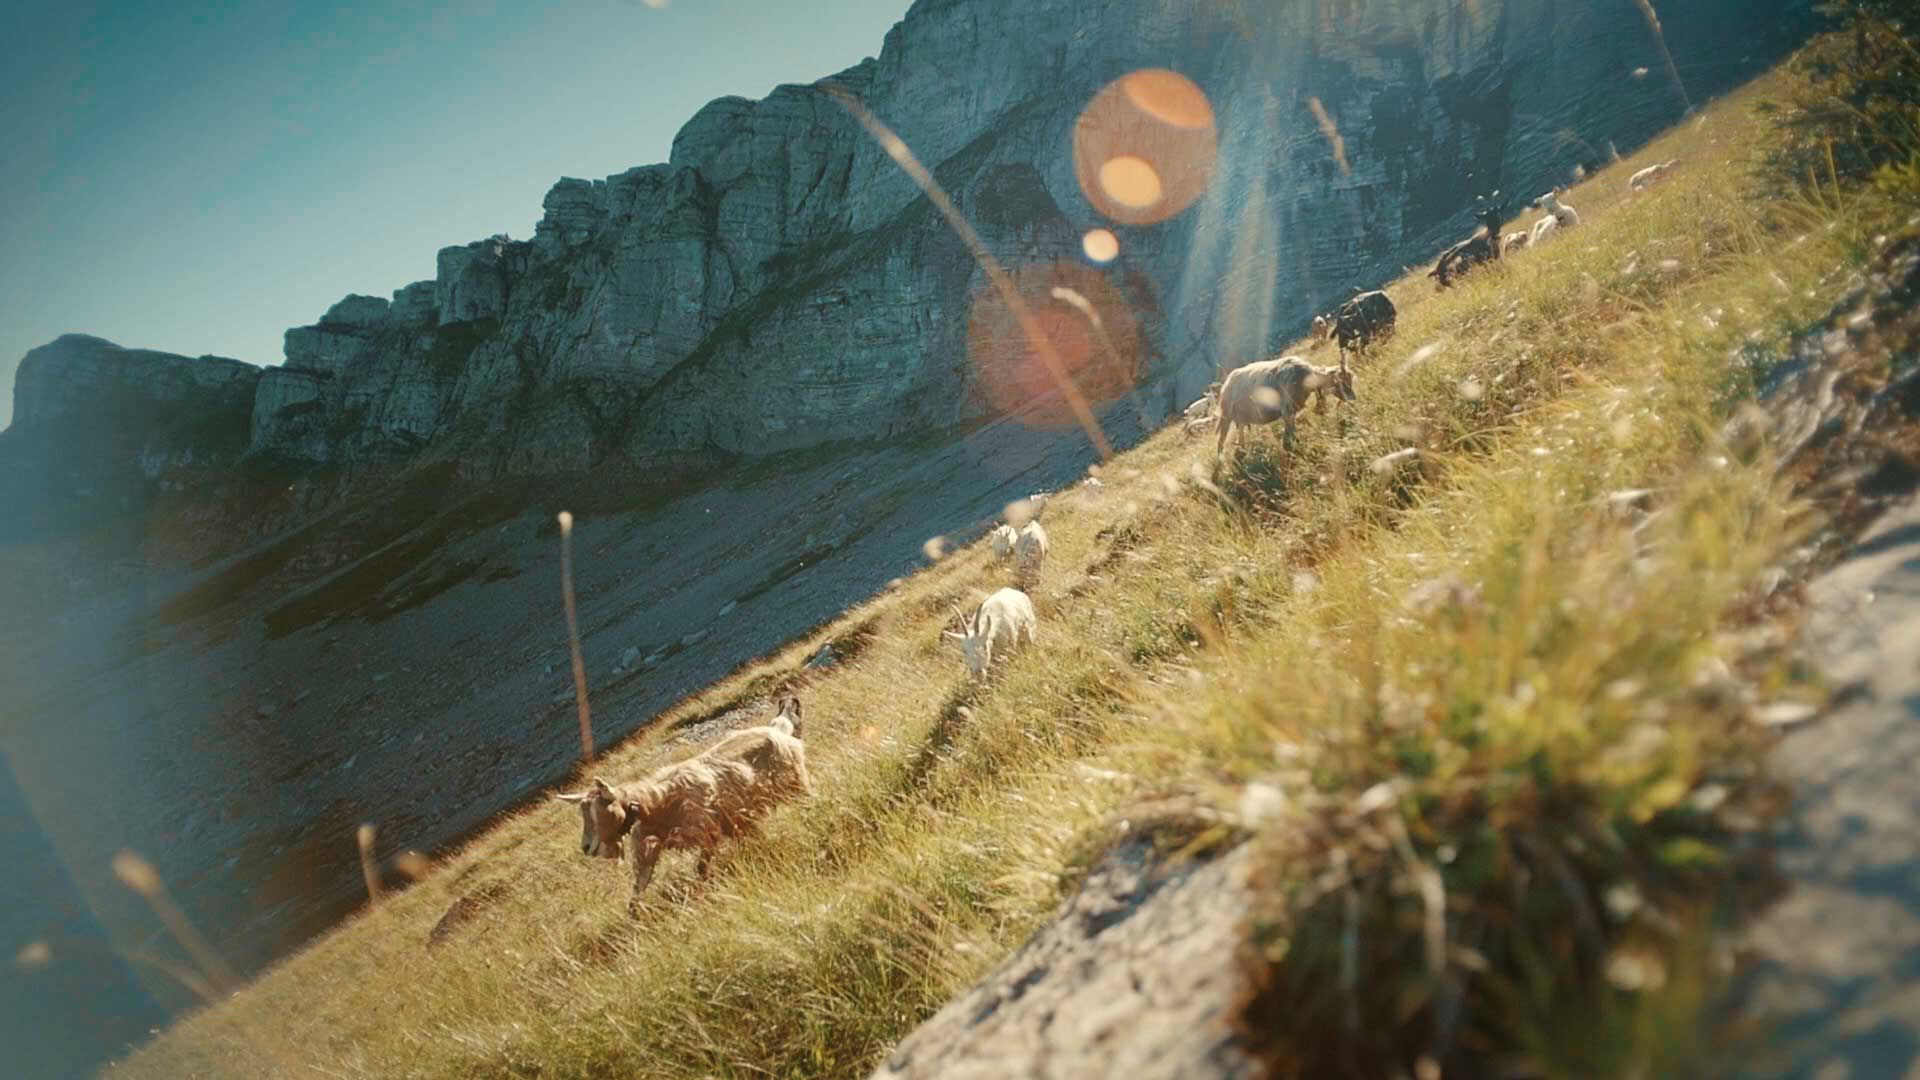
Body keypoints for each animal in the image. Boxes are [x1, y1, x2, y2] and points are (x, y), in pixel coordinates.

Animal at [552, 718, 814, 903]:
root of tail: (779, 729)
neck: (658, 804)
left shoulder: (707, 831)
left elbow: (701, 869)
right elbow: (637, 893)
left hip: (796, 782)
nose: (586, 847)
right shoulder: (649, 849)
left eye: (600, 810)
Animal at [1205, 353, 1359, 453]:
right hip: (1226, 415)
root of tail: (1226, 383)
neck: (1305, 377)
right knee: (1221, 440)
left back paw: (1242, 450)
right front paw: (1293, 448)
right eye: (1340, 382)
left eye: (1350, 379)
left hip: (1241, 416)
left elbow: (1290, 432)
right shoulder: (1286, 409)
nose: (1352, 398)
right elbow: (1290, 433)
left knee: (1241, 430)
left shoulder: (1291, 410)